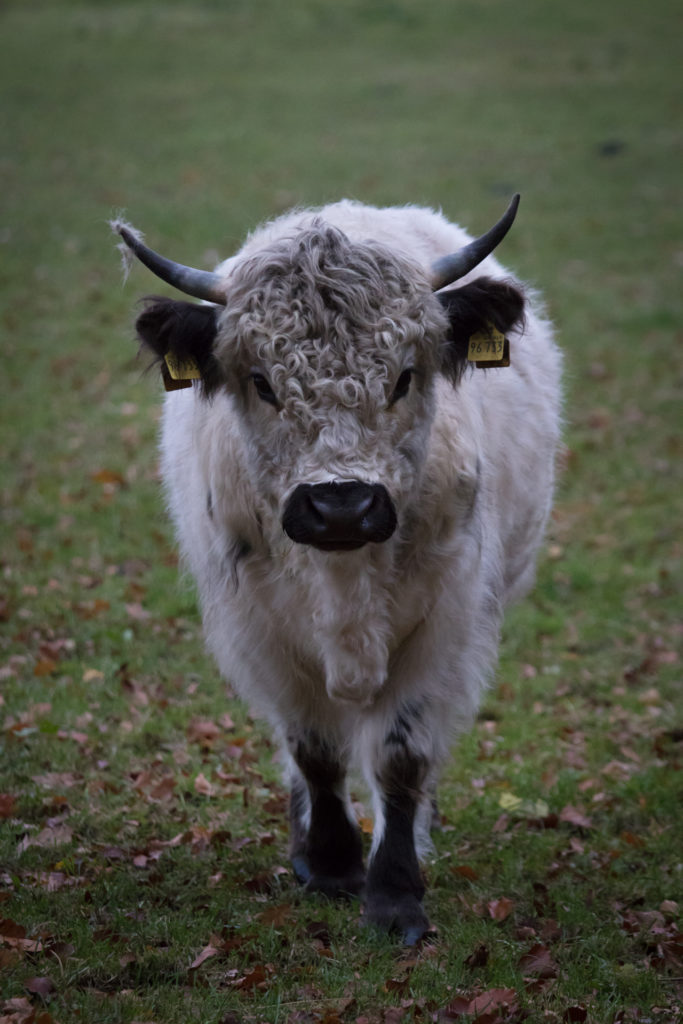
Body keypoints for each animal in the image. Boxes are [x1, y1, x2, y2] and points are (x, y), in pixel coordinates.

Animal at [111, 195, 562, 944]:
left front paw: (394, 892)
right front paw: (328, 865)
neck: (343, 577)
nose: (341, 505)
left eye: (404, 376)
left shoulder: (445, 626)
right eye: (261, 382)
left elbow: (401, 756)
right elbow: (314, 748)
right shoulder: (260, 630)